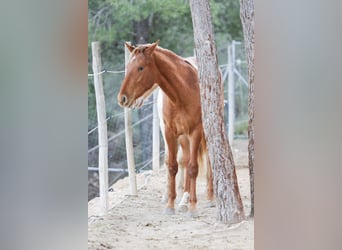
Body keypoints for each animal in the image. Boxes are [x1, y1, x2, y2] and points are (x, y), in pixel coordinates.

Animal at [118, 41, 214, 217]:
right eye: (128, 67)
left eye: (140, 67)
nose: (122, 98)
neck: (183, 91)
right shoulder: (170, 132)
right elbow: (172, 166)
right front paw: (170, 204)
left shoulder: (196, 131)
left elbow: (193, 168)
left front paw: (193, 207)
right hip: (183, 137)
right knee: (185, 160)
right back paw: (183, 200)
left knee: (207, 159)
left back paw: (210, 197)